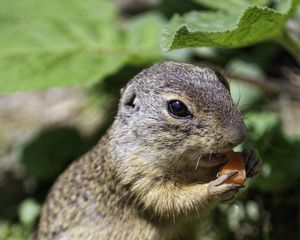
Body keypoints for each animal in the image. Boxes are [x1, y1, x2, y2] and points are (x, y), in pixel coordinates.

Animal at [37, 62, 262, 240]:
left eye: (222, 81)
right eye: (177, 107)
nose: (240, 134)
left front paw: (252, 158)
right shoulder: (137, 177)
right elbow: (171, 202)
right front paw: (212, 189)